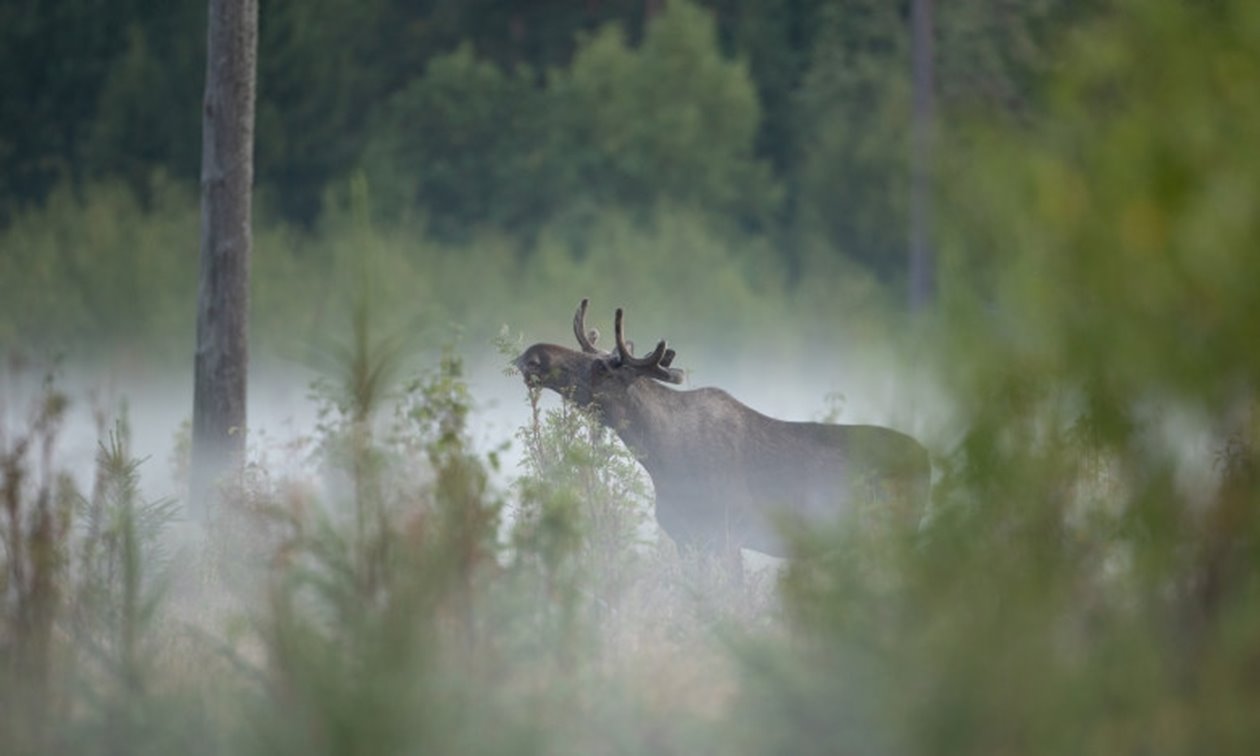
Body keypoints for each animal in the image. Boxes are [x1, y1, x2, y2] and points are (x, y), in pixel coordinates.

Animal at [514, 298, 937, 556]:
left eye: (601, 367)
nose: (532, 356)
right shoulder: (687, 538)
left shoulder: (726, 535)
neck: (661, 456)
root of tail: (928, 460)